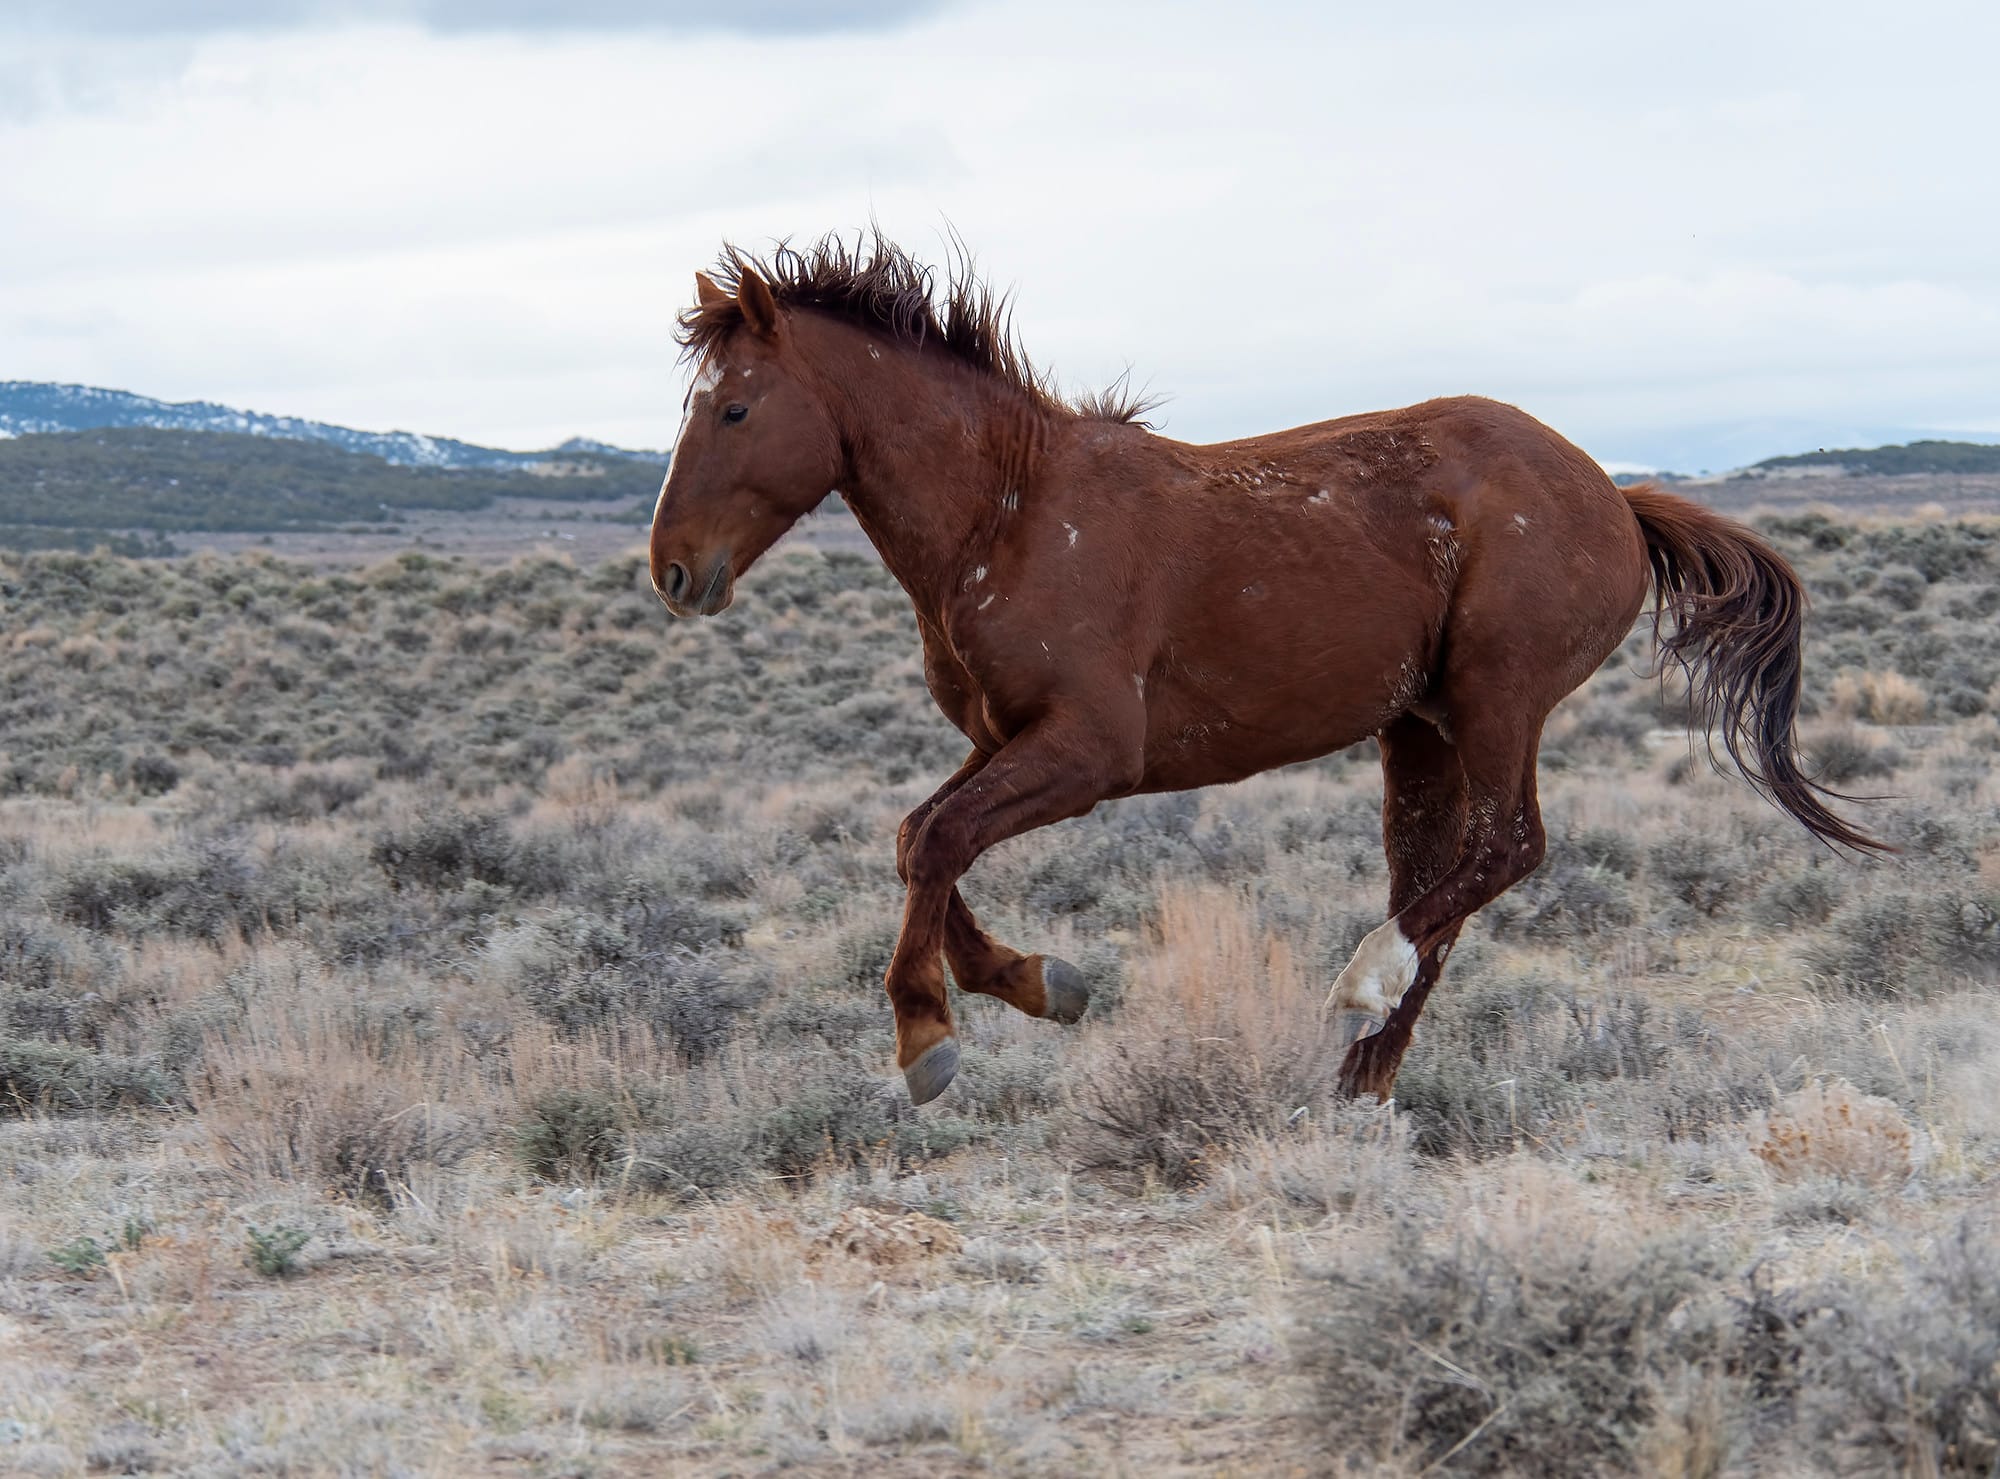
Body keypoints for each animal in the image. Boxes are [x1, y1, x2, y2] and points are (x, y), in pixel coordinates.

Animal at [647, 233, 1883, 1107]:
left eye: (734, 407)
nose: (673, 569)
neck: (1011, 515)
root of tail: (1616, 499)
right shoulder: (1004, 738)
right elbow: (918, 837)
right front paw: (1039, 983)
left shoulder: (1088, 753)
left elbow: (940, 840)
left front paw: (926, 1039)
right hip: (1417, 729)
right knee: (1440, 878)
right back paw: (1358, 1079)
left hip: (1498, 699)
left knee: (1505, 851)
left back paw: (1360, 988)